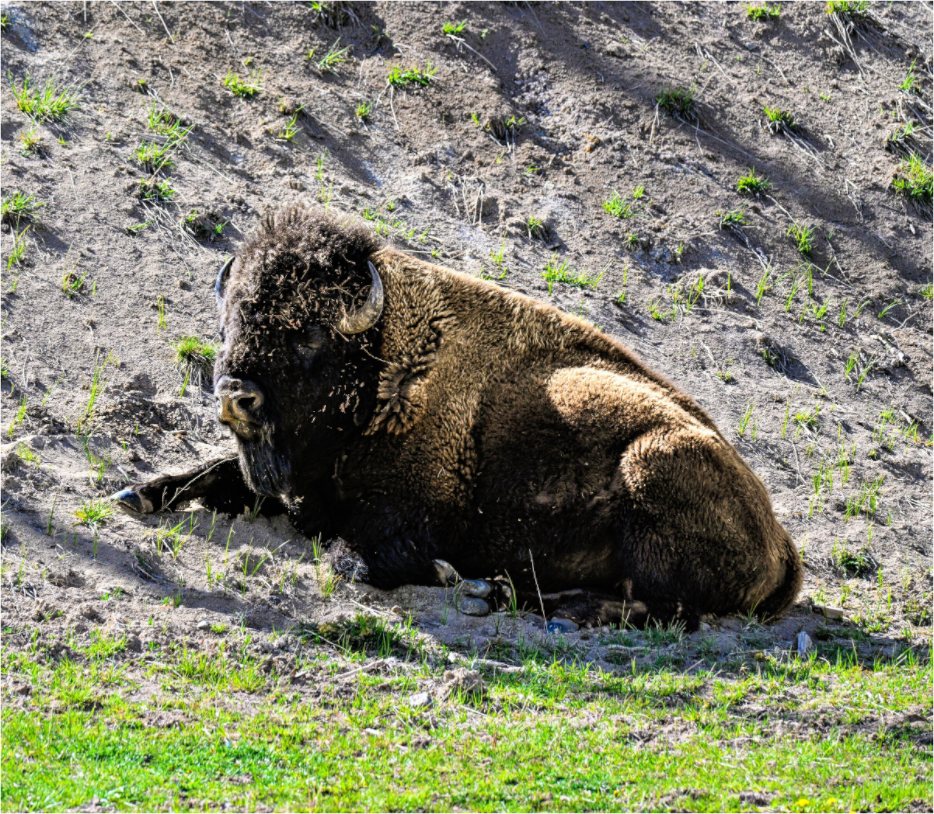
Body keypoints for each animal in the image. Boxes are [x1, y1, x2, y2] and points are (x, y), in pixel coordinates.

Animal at [113, 203, 802, 630]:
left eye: (309, 335)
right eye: (228, 321)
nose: (235, 393)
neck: (382, 367)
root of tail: (783, 543)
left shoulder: (405, 519)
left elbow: (358, 551)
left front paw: (444, 574)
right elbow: (216, 473)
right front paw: (138, 492)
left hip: (650, 467)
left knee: (661, 608)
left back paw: (528, 600)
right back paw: (508, 592)